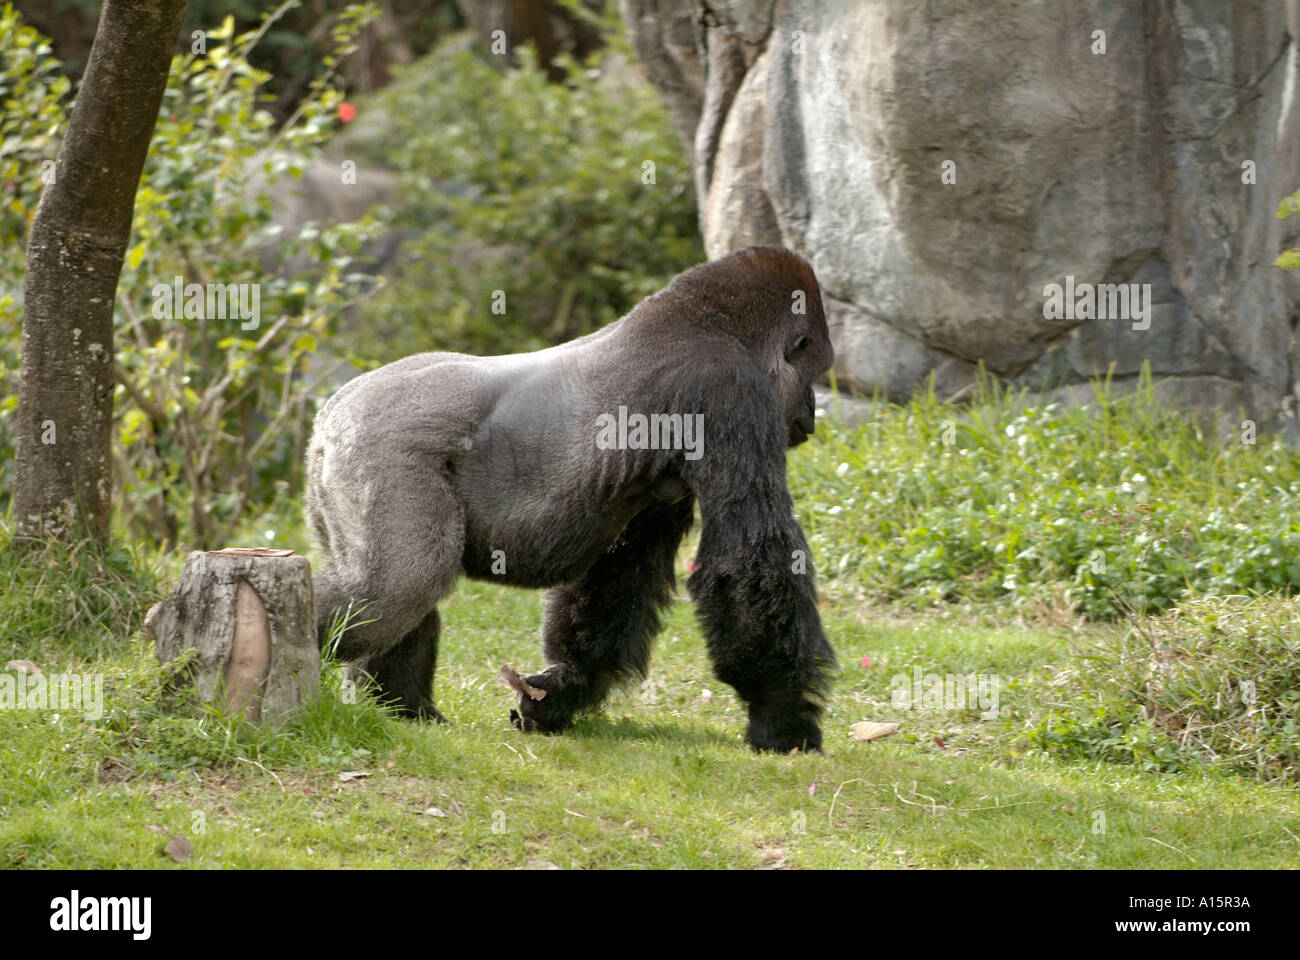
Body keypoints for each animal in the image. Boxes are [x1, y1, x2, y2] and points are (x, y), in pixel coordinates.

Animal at [305, 244, 837, 749]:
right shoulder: (732, 393)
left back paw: (402, 706)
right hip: (382, 450)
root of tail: (327, 417)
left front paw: (562, 691)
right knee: (399, 586)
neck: (716, 327)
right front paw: (781, 716)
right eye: (814, 376)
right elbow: (745, 560)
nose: (813, 411)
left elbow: (620, 572)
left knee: (392, 590)